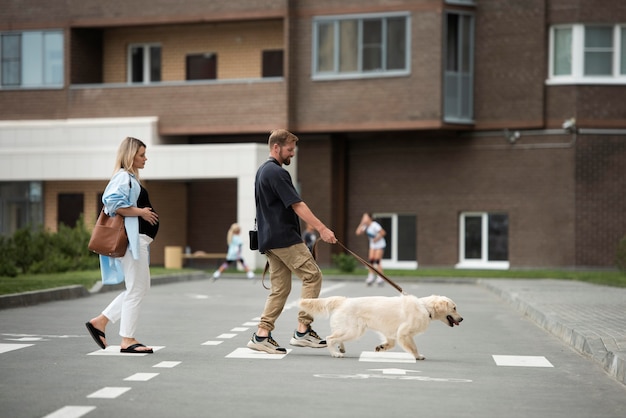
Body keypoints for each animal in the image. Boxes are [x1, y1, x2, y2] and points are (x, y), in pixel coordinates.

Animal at [300, 294, 460, 360]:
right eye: (454, 308)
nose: (462, 319)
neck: (425, 308)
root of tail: (343, 300)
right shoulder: (404, 333)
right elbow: (413, 347)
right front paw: (418, 356)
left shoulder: (392, 332)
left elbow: (391, 343)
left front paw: (381, 347)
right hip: (354, 330)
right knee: (330, 338)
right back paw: (335, 353)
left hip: (351, 330)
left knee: (336, 337)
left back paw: (341, 348)